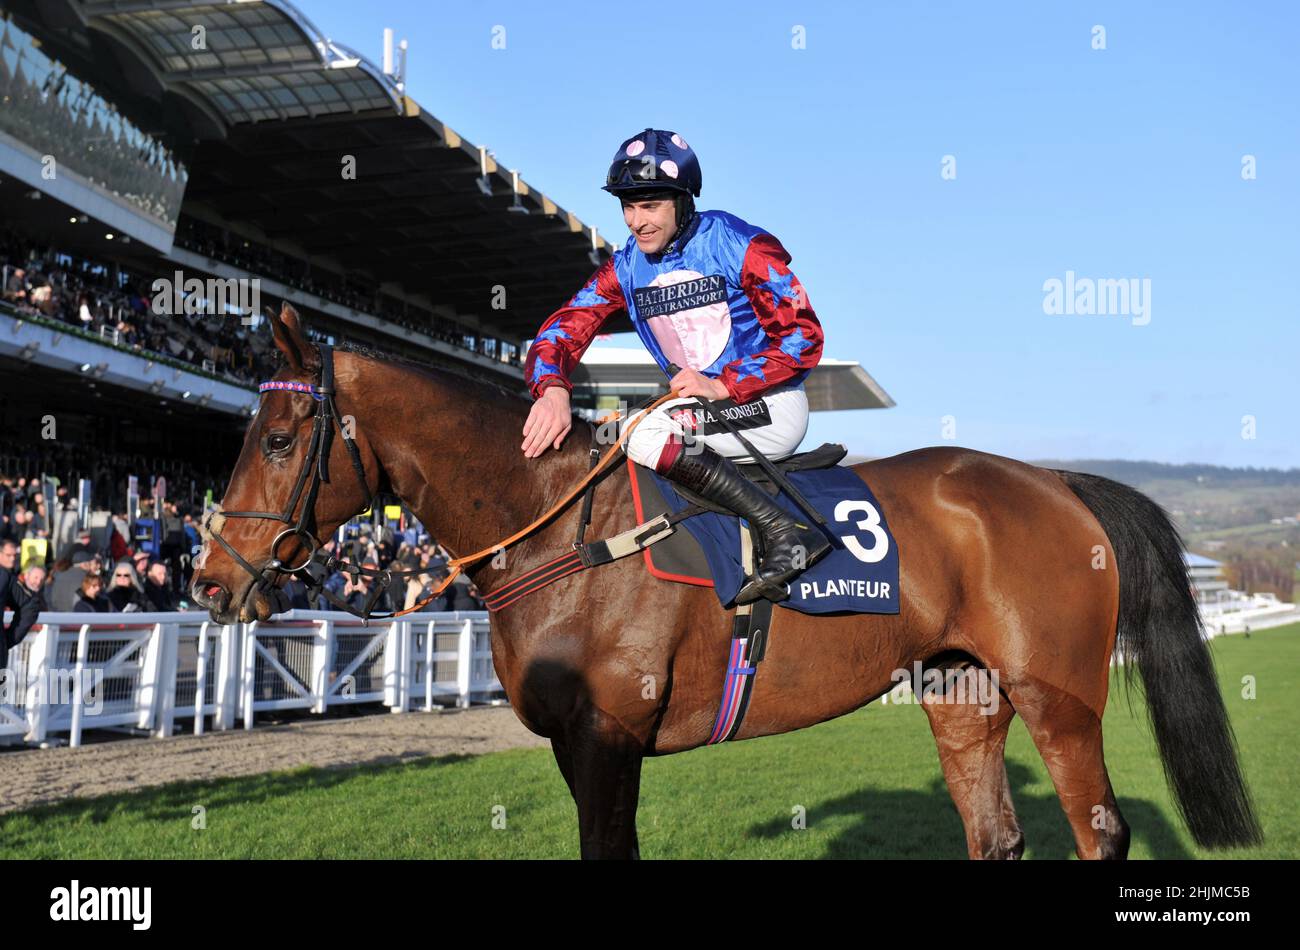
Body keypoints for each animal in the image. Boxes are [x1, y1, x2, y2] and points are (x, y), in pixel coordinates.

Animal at [189, 306, 1258, 862]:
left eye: (277, 439)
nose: (209, 582)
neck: (566, 537)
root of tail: (1057, 480)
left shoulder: (609, 737)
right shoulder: (579, 744)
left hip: (1058, 696)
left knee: (1101, 833)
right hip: (963, 689)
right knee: (995, 837)